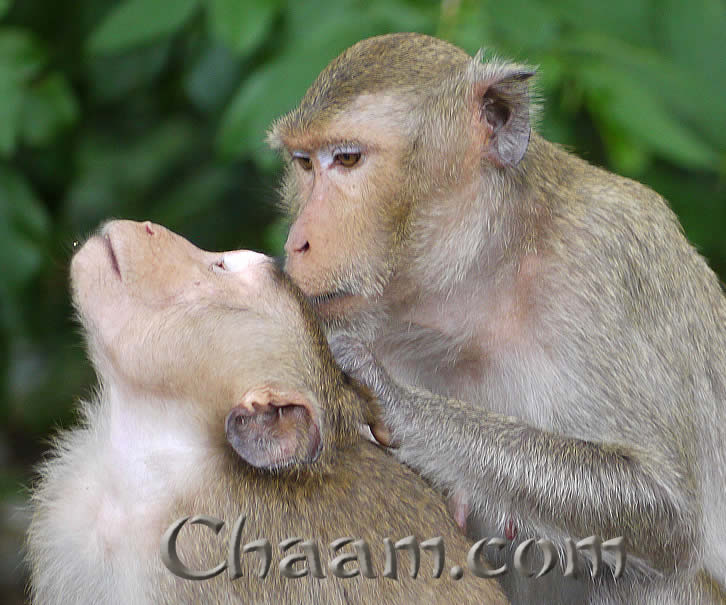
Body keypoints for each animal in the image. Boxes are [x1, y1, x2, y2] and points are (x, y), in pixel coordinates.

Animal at [268, 34, 726, 604]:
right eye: (305, 164)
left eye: (347, 159)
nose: (296, 242)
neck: (480, 284)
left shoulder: (610, 260)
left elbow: (667, 510)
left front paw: (394, 402)